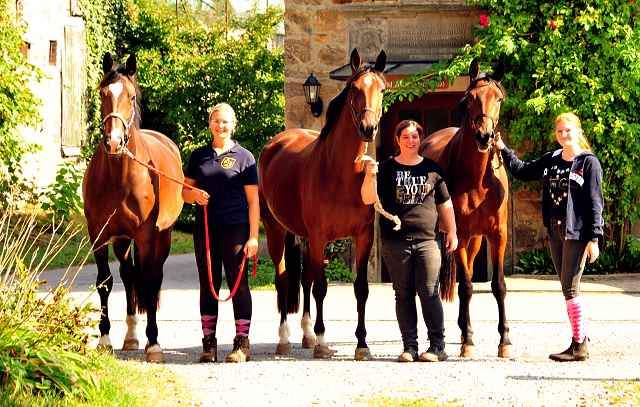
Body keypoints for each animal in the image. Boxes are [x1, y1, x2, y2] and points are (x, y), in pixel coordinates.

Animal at [82, 53, 182, 364]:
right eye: (103, 93)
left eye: (131, 96)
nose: (114, 142)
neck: (120, 175)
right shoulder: (99, 234)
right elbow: (105, 282)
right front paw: (104, 340)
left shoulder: (147, 235)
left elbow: (148, 283)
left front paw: (154, 344)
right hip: (122, 240)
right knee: (127, 276)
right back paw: (130, 336)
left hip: (162, 236)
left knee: (154, 278)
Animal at [258, 48, 388, 360]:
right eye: (354, 89)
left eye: (382, 89)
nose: (369, 128)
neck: (340, 173)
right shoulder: (318, 237)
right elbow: (320, 288)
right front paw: (322, 342)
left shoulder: (363, 236)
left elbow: (361, 288)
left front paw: (362, 344)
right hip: (276, 231)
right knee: (284, 280)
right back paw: (285, 339)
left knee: (303, 278)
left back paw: (305, 334)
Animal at [420, 58, 516, 360]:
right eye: (469, 98)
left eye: (499, 98)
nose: (485, 136)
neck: (478, 179)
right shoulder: (459, 236)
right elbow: (465, 287)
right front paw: (470, 343)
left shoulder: (498, 236)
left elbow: (498, 286)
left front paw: (505, 341)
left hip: (475, 240)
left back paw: (464, 329)